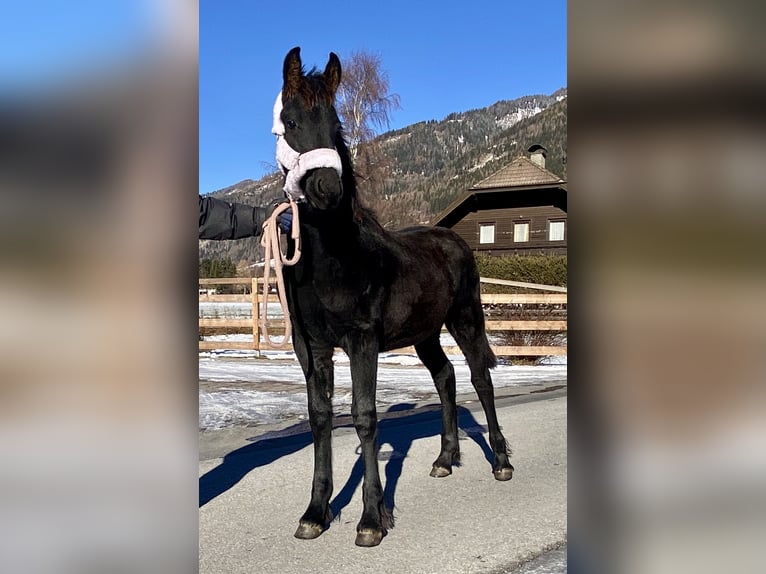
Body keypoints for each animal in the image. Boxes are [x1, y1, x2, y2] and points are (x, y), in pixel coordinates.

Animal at [275, 47, 513, 547]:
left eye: (335, 121)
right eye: (290, 120)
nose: (327, 189)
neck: (333, 258)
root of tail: (453, 239)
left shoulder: (362, 340)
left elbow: (364, 416)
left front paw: (370, 519)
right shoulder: (312, 347)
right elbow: (320, 415)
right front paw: (315, 513)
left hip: (465, 319)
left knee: (480, 378)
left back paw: (501, 462)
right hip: (425, 334)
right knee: (445, 378)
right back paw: (444, 460)